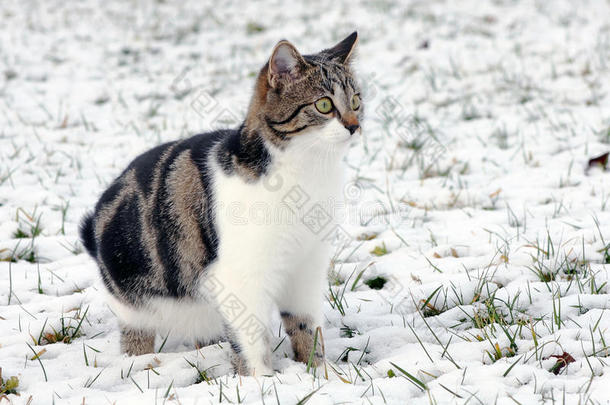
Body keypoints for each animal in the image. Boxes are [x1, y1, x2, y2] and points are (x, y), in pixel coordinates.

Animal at [78, 31, 358, 376]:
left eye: (356, 100)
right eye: (324, 105)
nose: (354, 125)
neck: (308, 171)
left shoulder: (307, 266)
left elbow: (307, 327)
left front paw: (319, 373)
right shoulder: (239, 275)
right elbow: (251, 340)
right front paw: (261, 380)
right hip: (134, 302)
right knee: (136, 337)